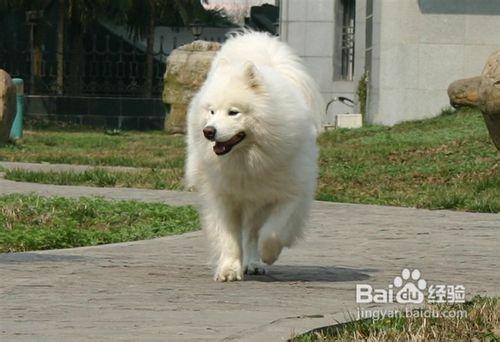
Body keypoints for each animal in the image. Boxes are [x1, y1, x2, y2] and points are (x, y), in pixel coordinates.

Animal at [186, 30, 322, 282]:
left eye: (233, 112)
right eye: (212, 111)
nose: (208, 131)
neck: (249, 161)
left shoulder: (290, 194)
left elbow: (272, 231)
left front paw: (267, 254)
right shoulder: (223, 196)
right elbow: (229, 238)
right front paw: (229, 269)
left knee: (253, 232)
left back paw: (254, 262)